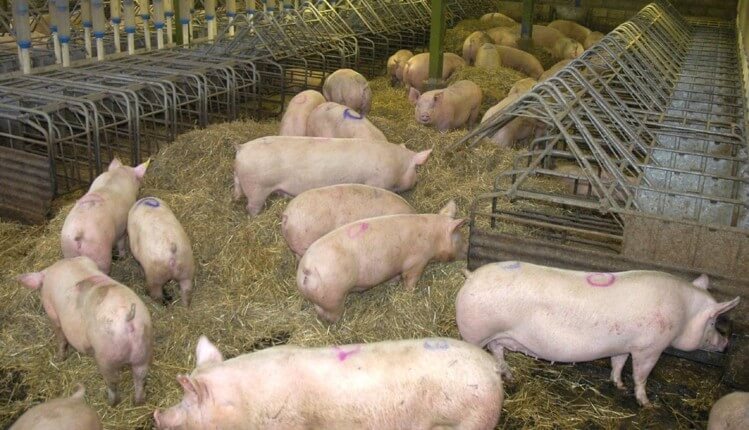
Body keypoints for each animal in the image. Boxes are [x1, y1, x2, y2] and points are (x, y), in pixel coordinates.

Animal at [17, 257, 153, 406]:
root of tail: (129, 317)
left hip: (106, 356)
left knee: (113, 382)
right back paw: (138, 402)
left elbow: (61, 337)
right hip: (143, 349)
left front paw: (59, 358)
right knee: (140, 377)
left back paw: (111, 402)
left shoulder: (52, 312)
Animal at [233, 137, 432, 215]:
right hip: (257, 189)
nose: (416, 182)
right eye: (416, 169)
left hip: (241, 182)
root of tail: (241, 149)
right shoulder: (378, 182)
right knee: (251, 207)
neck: (397, 164)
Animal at [297, 201, 465, 322]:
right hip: (333, 297)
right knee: (331, 314)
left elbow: (394, 278)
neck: (433, 237)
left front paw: (392, 285)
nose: (465, 253)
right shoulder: (416, 262)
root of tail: (306, 269)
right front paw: (410, 293)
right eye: (458, 238)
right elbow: (410, 280)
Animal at [456, 261, 741, 407]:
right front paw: (646, 403)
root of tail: (470, 276)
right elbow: (641, 375)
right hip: (475, 333)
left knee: (497, 352)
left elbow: (618, 363)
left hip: (497, 336)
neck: (683, 311)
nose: (726, 344)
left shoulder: (623, 344)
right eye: (714, 322)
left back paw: (511, 376)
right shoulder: (650, 347)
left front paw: (619, 385)